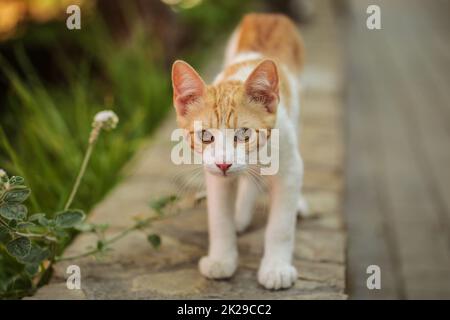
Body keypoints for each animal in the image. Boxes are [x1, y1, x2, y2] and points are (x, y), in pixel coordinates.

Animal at [171, 13, 308, 290]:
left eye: (244, 134)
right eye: (205, 136)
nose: (225, 164)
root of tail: (267, 15)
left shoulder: (289, 168)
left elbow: (281, 226)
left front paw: (276, 268)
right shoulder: (214, 173)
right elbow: (219, 219)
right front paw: (221, 260)